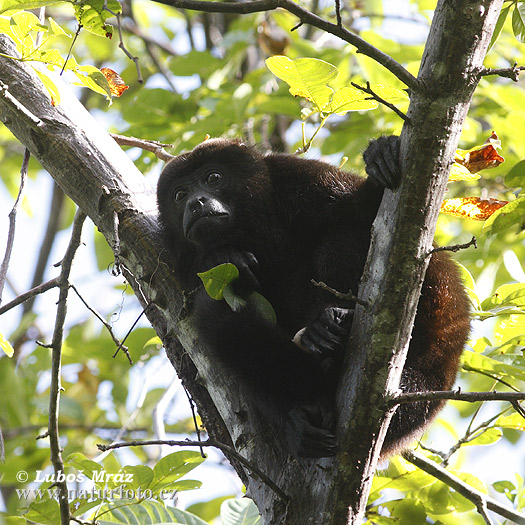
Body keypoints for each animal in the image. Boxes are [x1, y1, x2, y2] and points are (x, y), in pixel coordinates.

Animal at [157, 136, 470, 458]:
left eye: (213, 178)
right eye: (180, 195)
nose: (196, 202)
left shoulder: (300, 178)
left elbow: (364, 211)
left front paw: (381, 155)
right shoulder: (177, 257)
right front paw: (225, 256)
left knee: (342, 235)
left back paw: (332, 327)